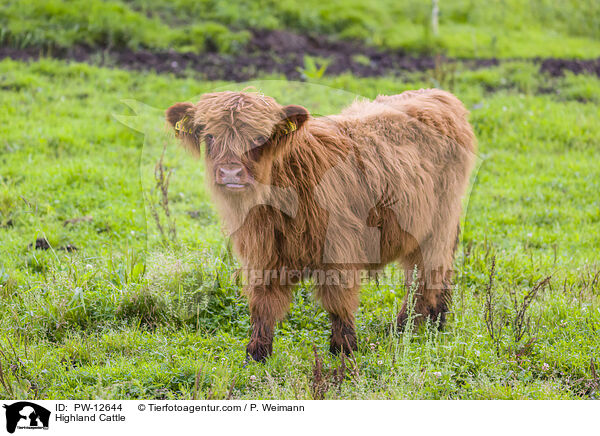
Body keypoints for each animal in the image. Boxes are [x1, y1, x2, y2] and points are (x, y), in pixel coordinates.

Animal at [166, 88, 476, 362]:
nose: (230, 172)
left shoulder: (339, 248)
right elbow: (262, 304)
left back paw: (405, 328)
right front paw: (256, 354)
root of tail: (440, 95)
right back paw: (435, 322)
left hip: (439, 223)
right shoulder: (262, 254)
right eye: (209, 136)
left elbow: (338, 302)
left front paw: (344, 350)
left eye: (259, 137)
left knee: (427, 274)